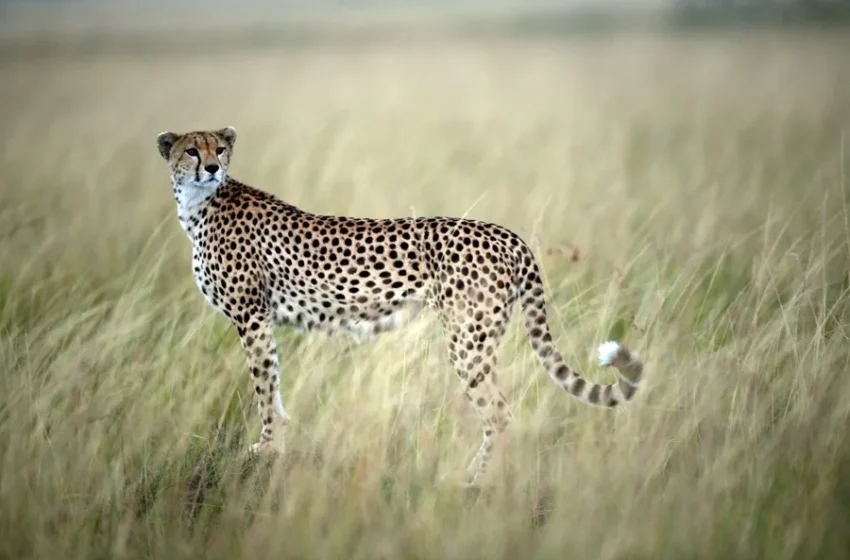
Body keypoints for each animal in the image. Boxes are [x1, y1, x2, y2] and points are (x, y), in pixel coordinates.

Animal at [156, 126, 645, 487]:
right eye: (191, 151)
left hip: (468, 341)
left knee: (501, 413)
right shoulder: (259, 320)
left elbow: (262, 385)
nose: (212, 167)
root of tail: (507, 234)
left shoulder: (251, 316)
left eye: (219, 149)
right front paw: (276, 444)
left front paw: (268, 447)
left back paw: (476, 481)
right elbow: (272, 385)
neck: (200, 205)